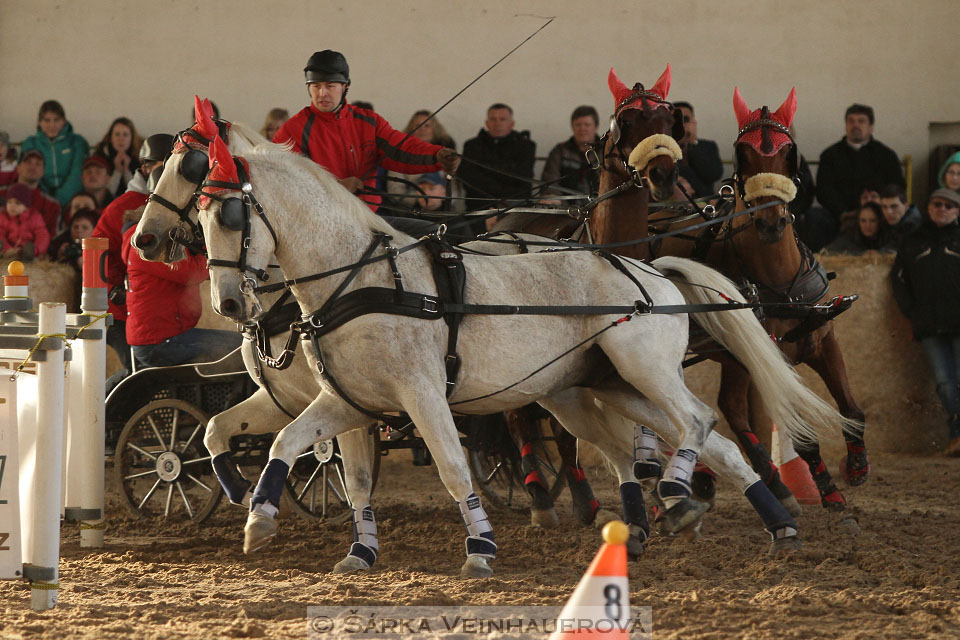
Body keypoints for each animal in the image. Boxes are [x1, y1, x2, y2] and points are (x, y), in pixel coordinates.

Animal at [178, 126, 848, 576]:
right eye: (200, 216)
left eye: (232, 214)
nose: (229, 303)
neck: (360, 279)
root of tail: (652, 269)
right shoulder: (352, 402)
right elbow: (297, 448)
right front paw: (262, 520)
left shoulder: (422, 394)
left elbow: (452, 467)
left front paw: (480, 548)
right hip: (603, 387)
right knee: (713, 442)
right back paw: (773, 524)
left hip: (644, 371)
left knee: (697, 419)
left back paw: (682, 498)